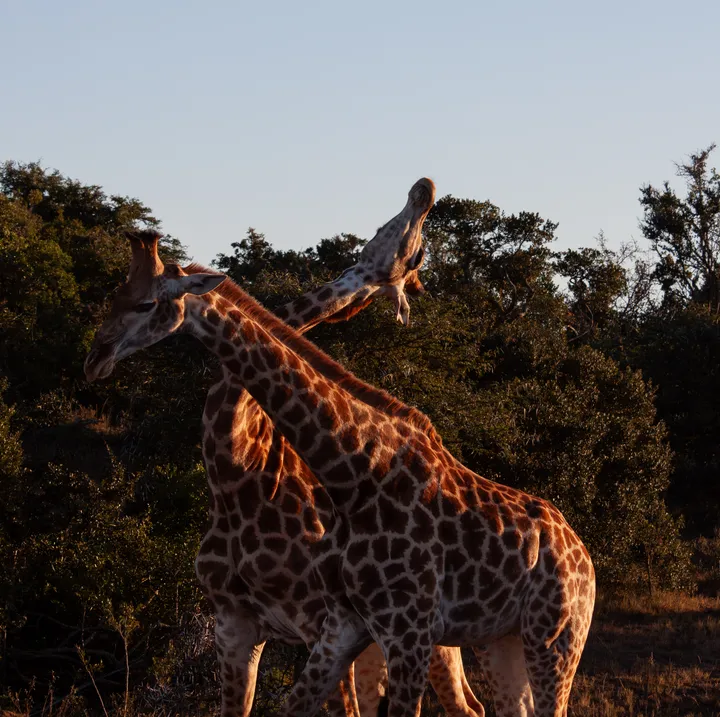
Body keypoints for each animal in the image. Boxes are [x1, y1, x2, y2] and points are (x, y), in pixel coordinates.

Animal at [83, 205, 595, 717]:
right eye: (116, 297)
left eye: (147, 304)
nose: (96, 357)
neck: (356, 475)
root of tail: (583, 554)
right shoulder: (329, 627)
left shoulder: (405, 630)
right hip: (499, 640)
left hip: (553, 638)